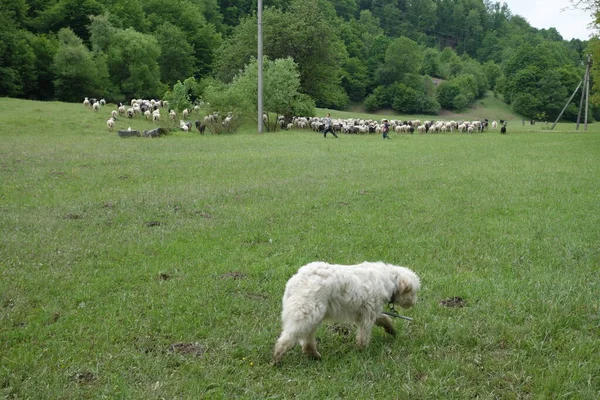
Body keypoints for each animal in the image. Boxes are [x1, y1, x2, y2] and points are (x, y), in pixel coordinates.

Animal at [274, 260, 420, 364]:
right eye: (413, 292)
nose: (414, 302)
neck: (389, 280)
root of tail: (294, 281)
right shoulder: (368, 314)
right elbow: (363, 335)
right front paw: (361, 350)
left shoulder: (373, 312)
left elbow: (384, 319)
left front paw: (391, 330)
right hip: (305, 314)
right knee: (287, 338)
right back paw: (278, 358)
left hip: (313, 316)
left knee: (307, 339)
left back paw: (313, 355)